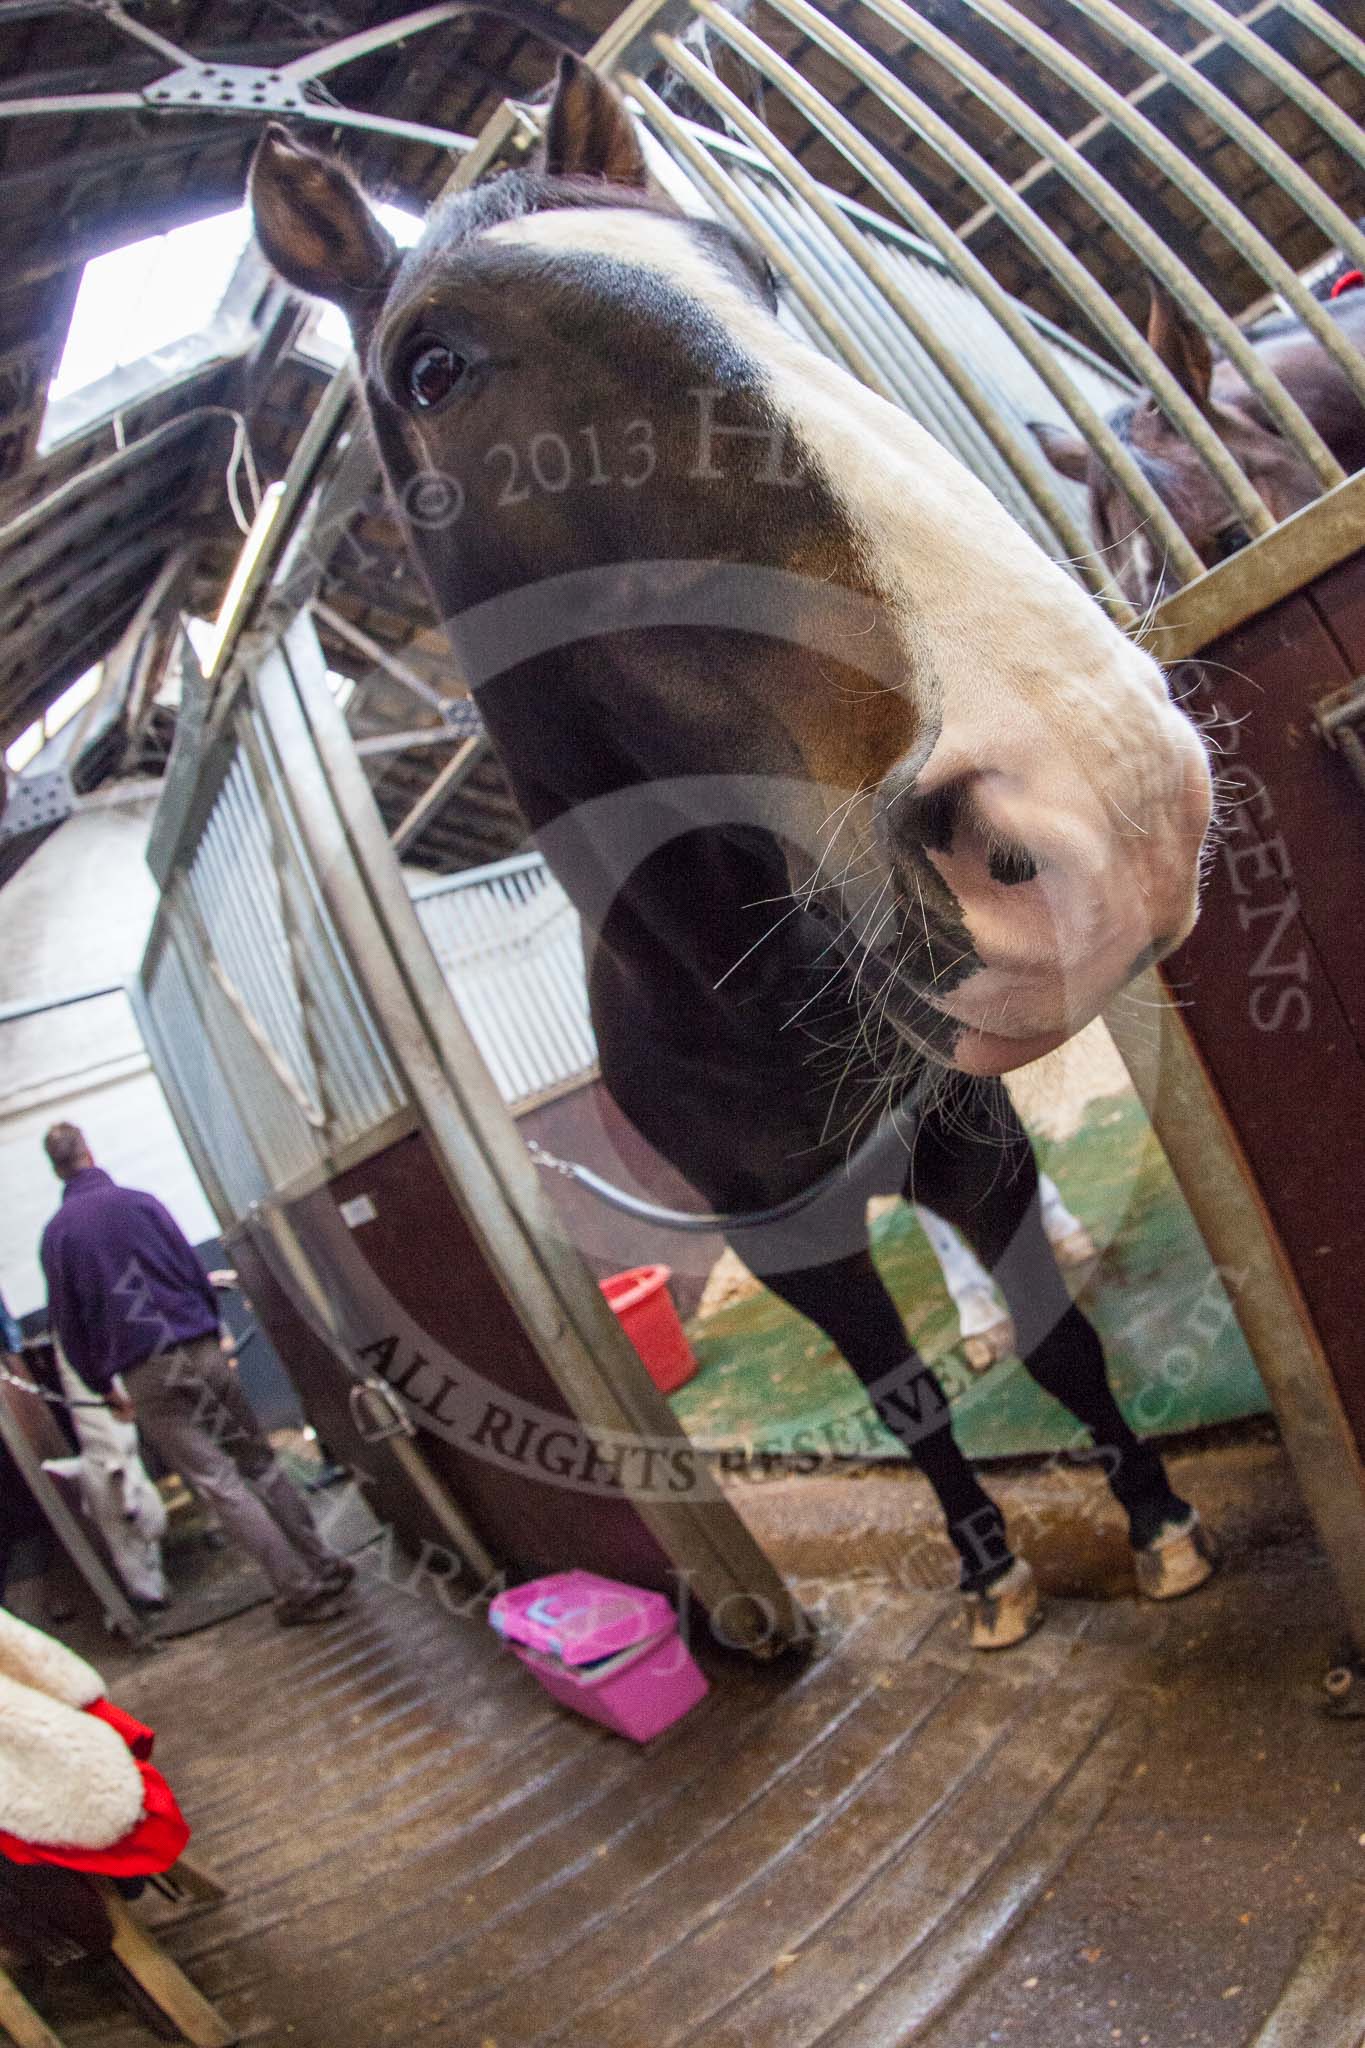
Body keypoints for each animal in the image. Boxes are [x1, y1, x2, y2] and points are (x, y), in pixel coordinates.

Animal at [248, 59, 1219, 1646]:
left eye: (749, 276)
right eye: (430, 369)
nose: (1102, 786)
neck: (736, 984)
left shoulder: (968, 1135)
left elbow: (1066, 1350)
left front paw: (1156, 1520)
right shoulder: (783, 1233)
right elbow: (903, 1399)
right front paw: (987, 1566)